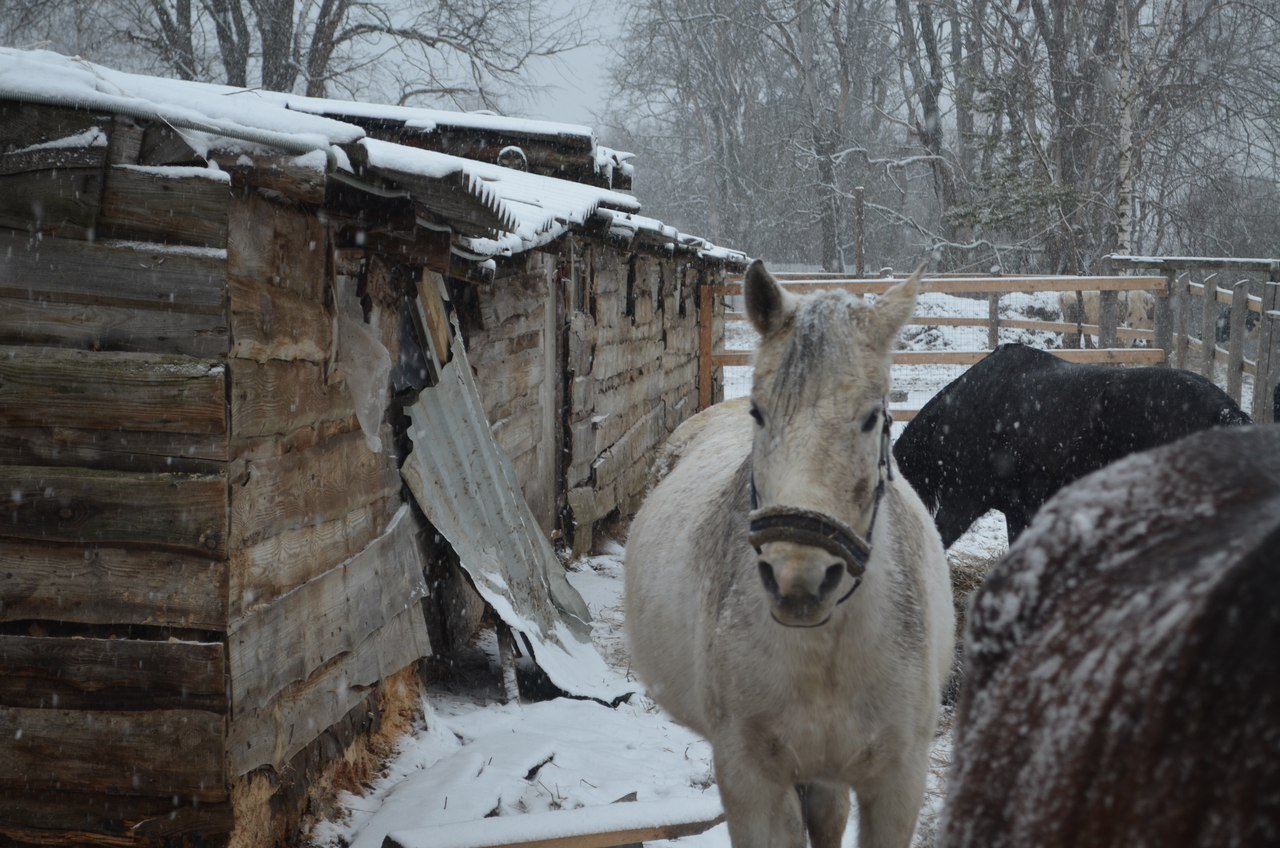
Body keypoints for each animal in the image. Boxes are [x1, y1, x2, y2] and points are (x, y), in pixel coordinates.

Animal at [624, 262, 957, 848]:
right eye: (759, 412)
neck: (826, 653)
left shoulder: (898, 784)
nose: (797, 579)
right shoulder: (750, 782)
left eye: (872, 418)